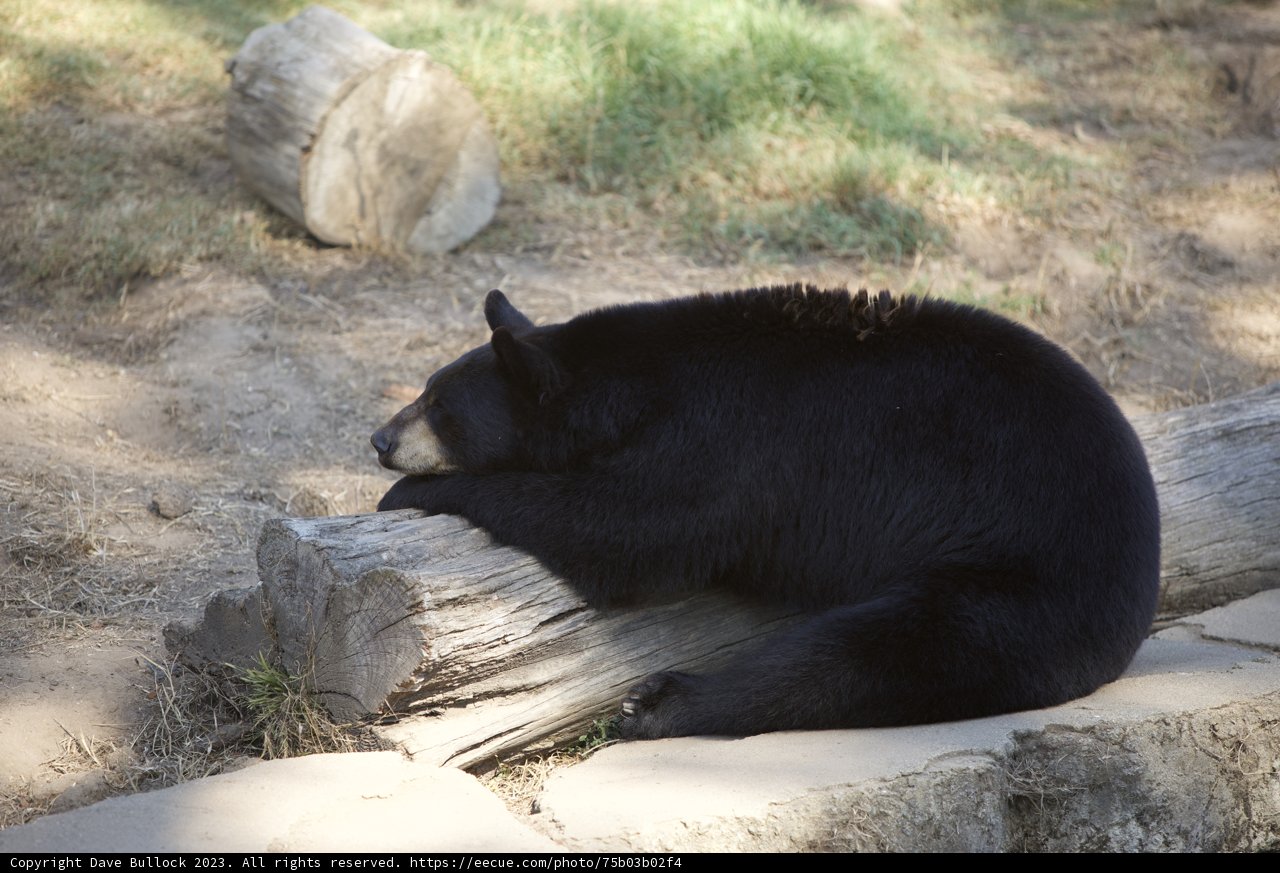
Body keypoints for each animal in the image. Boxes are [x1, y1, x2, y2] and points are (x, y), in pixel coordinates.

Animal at [372, 285, 1161, 739]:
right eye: (428, 389)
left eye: (439, 407)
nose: (380, 438)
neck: (632, 379)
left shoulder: (728, 441)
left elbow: (628, 531)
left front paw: (410, 493)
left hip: (1024, 585)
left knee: (861, 655)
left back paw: (662, 705)